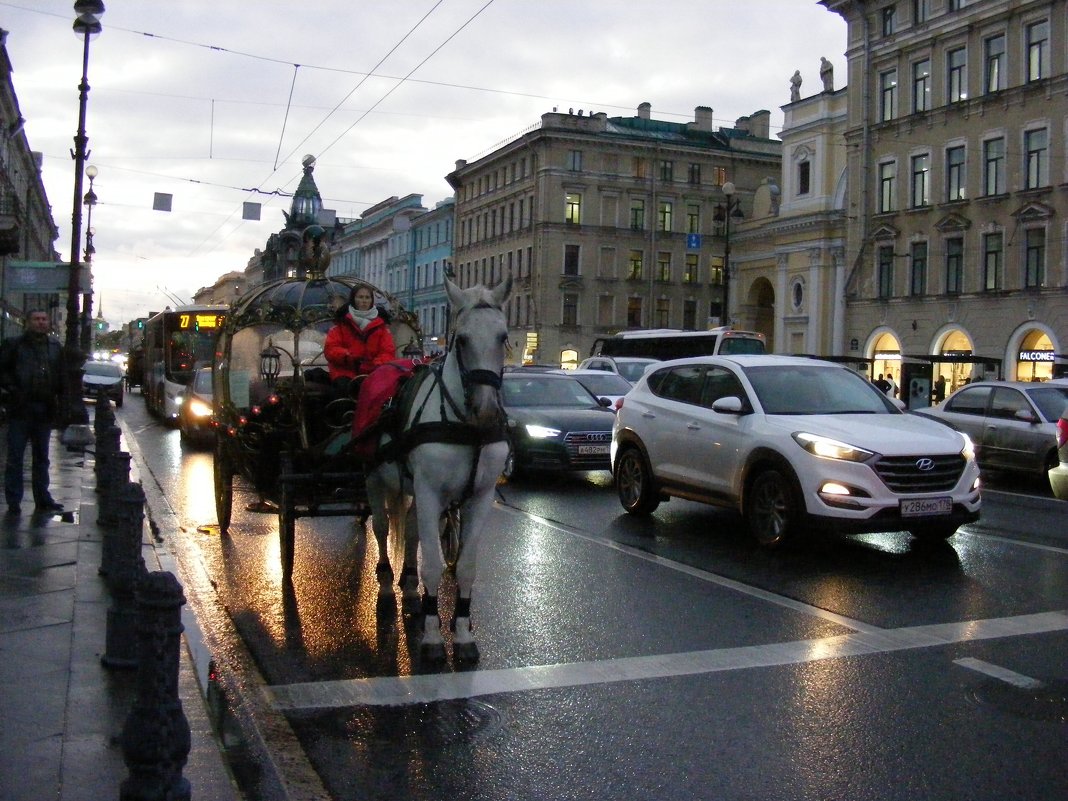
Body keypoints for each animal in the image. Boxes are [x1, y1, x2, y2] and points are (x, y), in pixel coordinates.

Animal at [367, 275, 512, 666]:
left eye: (503, 336)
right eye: (461, 339)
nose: (487, 411)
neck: (466, 427)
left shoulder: (479, 498)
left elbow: (464, 566)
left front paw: (462, 634)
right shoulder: (431, 492)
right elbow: (432, 563)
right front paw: (433, 637)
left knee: (412, 529)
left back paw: (409, 585)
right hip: (377, 482)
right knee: (381, 526)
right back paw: (387, 581)